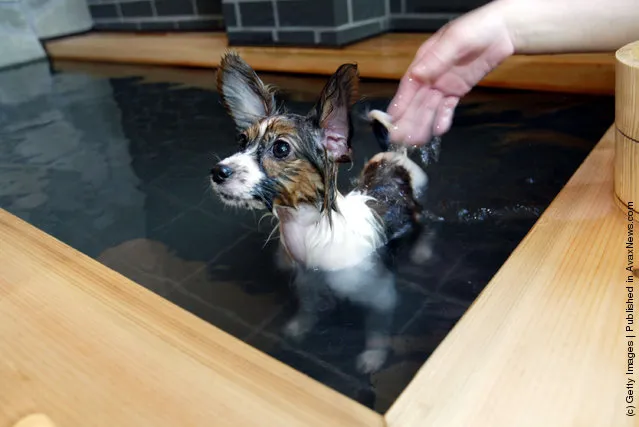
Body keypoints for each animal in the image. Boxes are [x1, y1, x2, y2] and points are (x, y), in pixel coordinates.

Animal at [212, 52, 432, 374]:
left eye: (281, 149)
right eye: (242, 142)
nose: (218, 171)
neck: (308, 234)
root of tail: (396, 155)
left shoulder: (381, 296)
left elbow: (377, 329)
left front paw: (373, 356)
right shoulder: (307, 282)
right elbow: (308, 308)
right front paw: (300, 327)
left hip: (417, 206)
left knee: (426, 226)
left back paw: (421, 252)